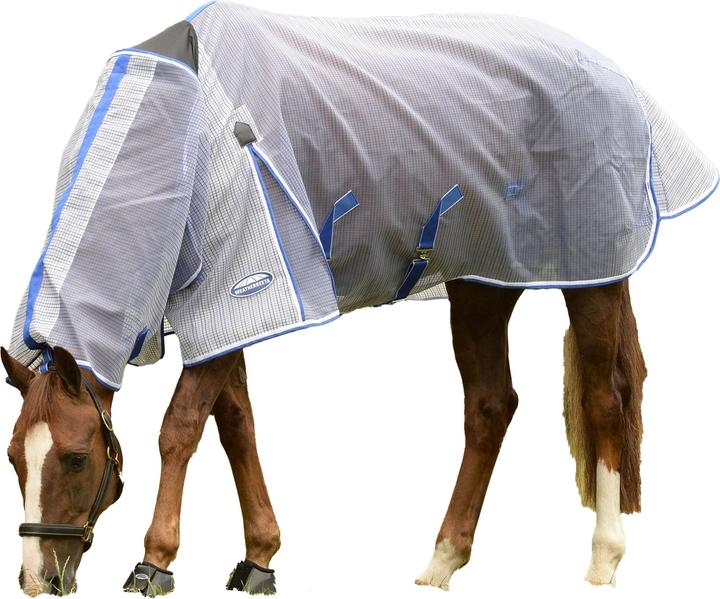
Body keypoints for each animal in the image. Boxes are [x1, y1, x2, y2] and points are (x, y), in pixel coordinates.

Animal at [1, 2, 716, 596]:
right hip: (482, 284)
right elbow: (235, 425)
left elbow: (180, 428)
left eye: (75, 457)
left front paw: (155, 562)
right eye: (13, 459)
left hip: (592, 276)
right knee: (491, 406)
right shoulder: (229, 314)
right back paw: (442, 561)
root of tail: (613, 73)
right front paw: (259, 557)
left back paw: (602, 558)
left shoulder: (237, 290)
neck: (177, 138)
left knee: (604, 399)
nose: (38, 579)